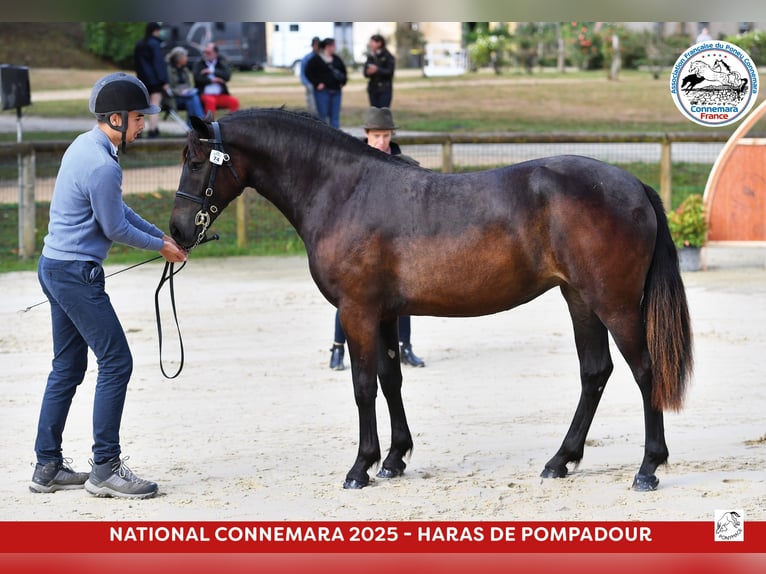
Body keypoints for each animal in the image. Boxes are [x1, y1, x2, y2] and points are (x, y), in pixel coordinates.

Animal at [169, 109, 693, 492]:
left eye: (195, 162)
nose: (177, 231)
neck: (344, 191)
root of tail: (632, 185)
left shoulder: (357, 311)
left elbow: (363, 386)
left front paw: (360, 468)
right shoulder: (383, 315)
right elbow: (390, 379)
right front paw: (394, 459)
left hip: (614, 303)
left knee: (645, 371)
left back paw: (648, 468)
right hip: (579, 298)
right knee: (595, 372)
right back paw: (560, 460)